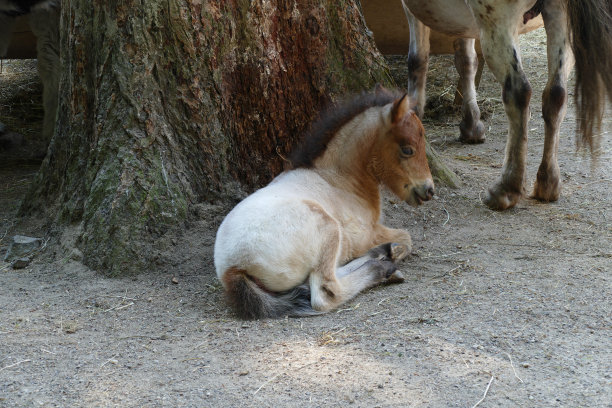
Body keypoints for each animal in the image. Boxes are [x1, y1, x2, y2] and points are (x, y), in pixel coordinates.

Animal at [215, 88, 436, 318]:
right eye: (408, 149)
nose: (429, 190)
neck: (338, 179)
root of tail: (233, 269)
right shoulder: (365, 234)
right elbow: (406, 238)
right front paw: (392, 252)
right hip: (329, 228)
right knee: (326, 292)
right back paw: (381, 268)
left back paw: (380, 254)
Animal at [402, 0, 612, 210]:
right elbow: (466, 60)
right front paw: (471, 125)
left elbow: (417, 58)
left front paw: (412, 115)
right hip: (560, 17)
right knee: (556, 94)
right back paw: (548, 184)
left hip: (498, 21)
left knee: (519, 92)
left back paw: (507, 187)